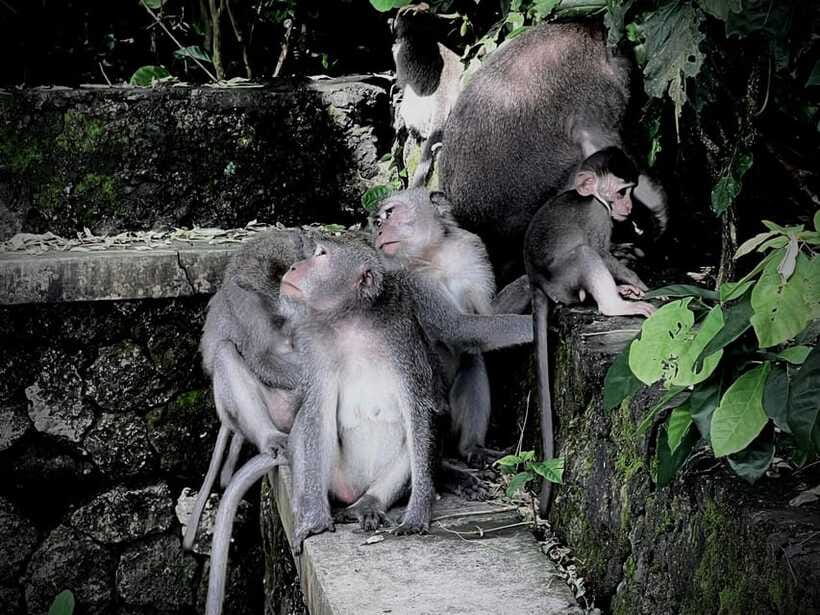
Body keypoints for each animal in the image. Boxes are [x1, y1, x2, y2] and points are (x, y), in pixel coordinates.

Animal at [524, 147, 656, 516]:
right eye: (622, 192)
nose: (629, 208)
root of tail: (536, 283)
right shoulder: (599, 215)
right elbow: (600, 252)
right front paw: (638, 281)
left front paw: (634, 284)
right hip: (565, 281)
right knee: (585, 254)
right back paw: (615, 305)